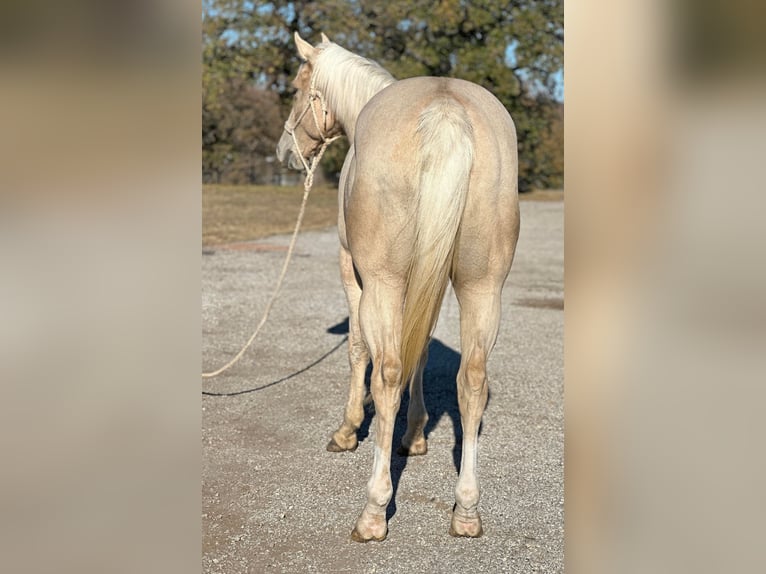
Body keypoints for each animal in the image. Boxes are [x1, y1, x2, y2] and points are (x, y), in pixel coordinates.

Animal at [278, 32, 520, 544]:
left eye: (295, 87)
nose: (286, 151)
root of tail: (447, 110)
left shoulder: (353, 272)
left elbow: (359, 350)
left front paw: (348, 430)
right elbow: (421, 350)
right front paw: (416, 434)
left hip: (384, 283)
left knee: (387, 373)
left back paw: (373, 511)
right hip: (482, 287)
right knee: (472, 379)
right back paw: (466, 510)